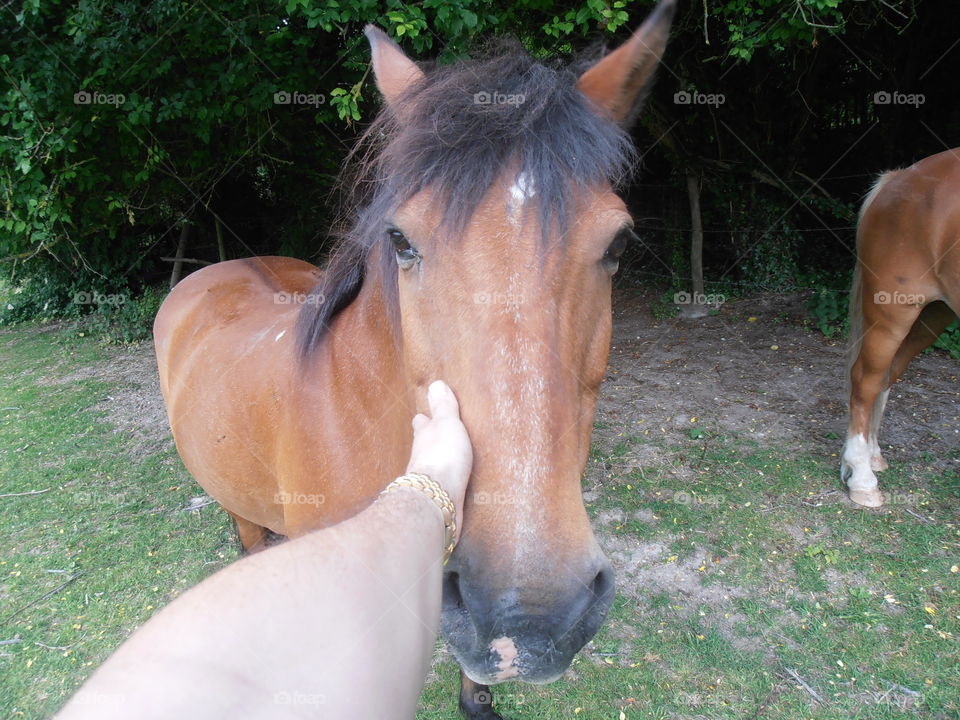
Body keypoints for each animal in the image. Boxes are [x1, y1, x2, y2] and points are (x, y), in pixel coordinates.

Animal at [840, 146, 960, 506]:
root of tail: (896, 178)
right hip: (892, 315)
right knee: (865, 380)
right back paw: (862, 478)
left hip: (933, 314)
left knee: (887, 375)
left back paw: (872, 456)